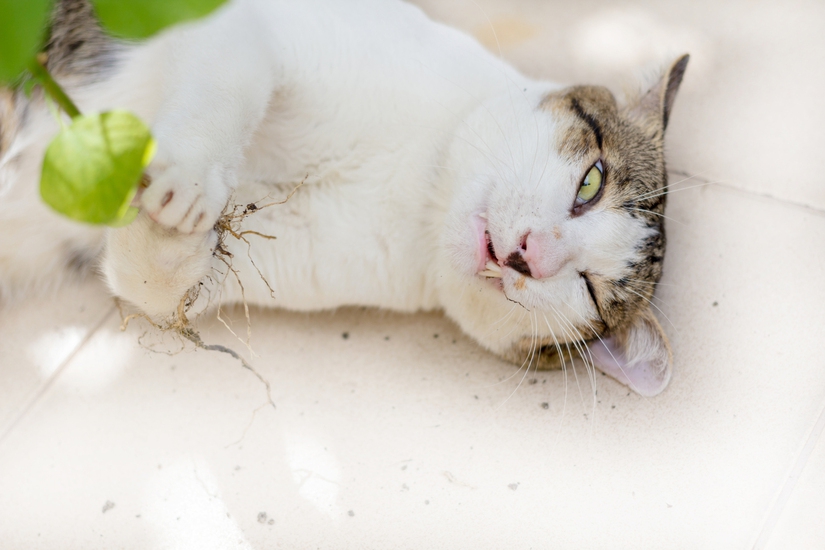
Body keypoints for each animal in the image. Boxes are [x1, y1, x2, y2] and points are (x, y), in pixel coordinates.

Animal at [0, 0, 688, 396]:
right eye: (591, 182)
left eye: (591, 294)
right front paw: (188, 180)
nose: (529, 253)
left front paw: (170, 228)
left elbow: (152, 283)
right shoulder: (257, 22)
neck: (418, 190)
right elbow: (228, 81)